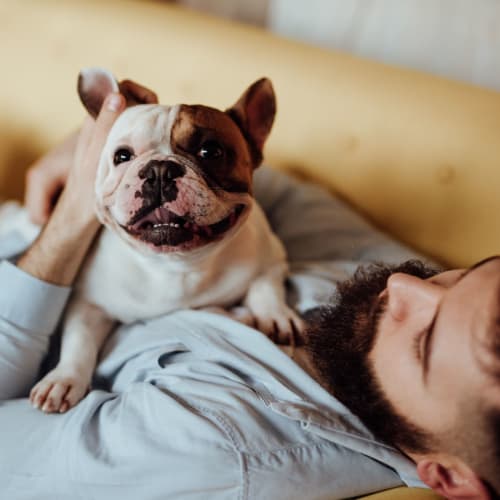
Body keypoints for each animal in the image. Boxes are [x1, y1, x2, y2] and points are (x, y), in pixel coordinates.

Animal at [21, 69, 302, 414]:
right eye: (122, 156)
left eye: (211, 151)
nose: (159, 169)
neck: (175, 265)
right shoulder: (88, 303)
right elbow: (79, 340)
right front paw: (63, 379)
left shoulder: (270, 255)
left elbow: (266, 285)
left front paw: (275, 316)